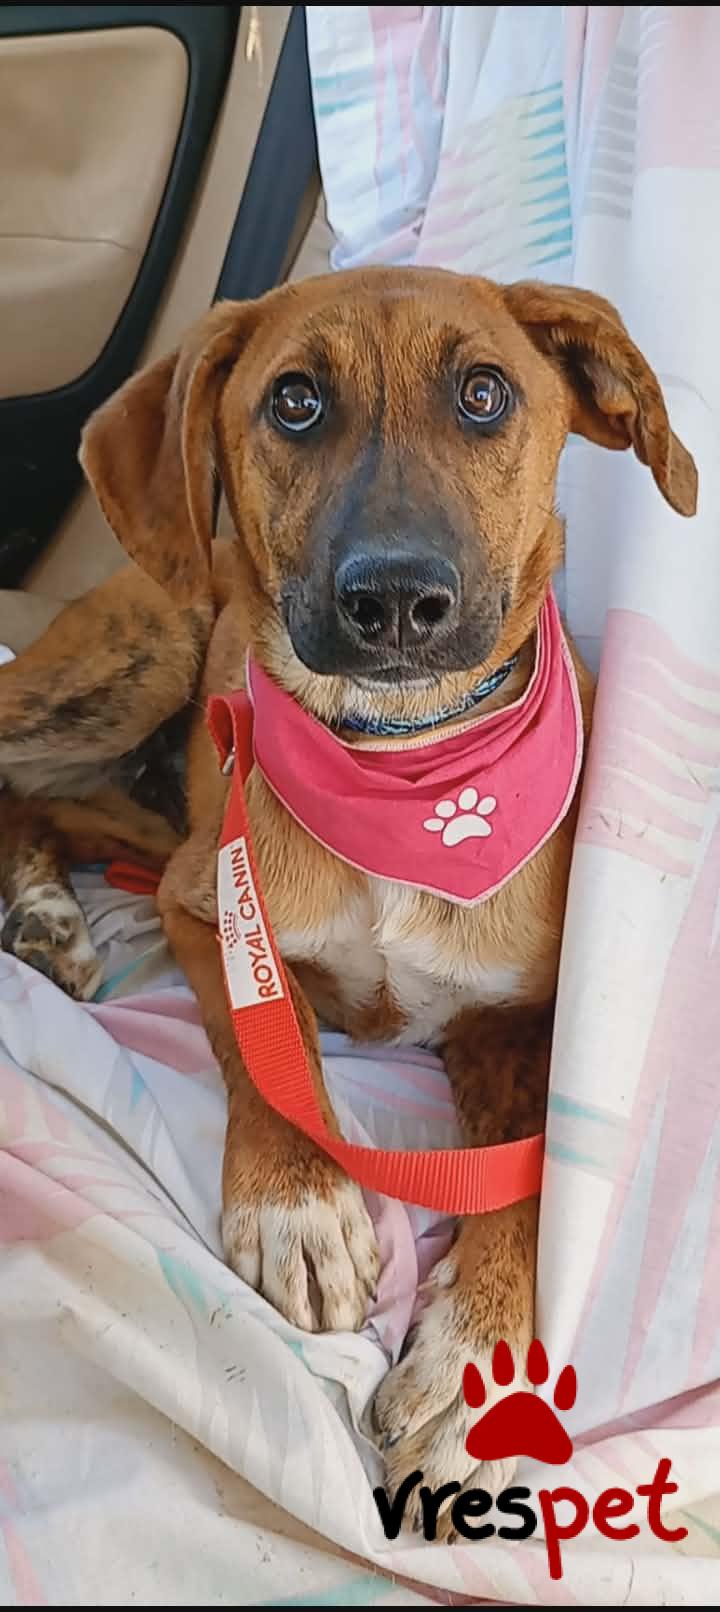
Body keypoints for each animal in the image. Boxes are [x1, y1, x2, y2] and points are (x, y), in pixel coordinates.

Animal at [0, 268, 697, 1523]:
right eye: (293, 401)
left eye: (485, 393)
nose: (398, 599)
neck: (401, 768)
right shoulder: (203, 905)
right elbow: (266, 1044)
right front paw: (301, 1206)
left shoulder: (522, 1018)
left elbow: (524, 1180)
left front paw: (482, 1370)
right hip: (134, 666)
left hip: (132, 793)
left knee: (33, 807)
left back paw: (44, 908)